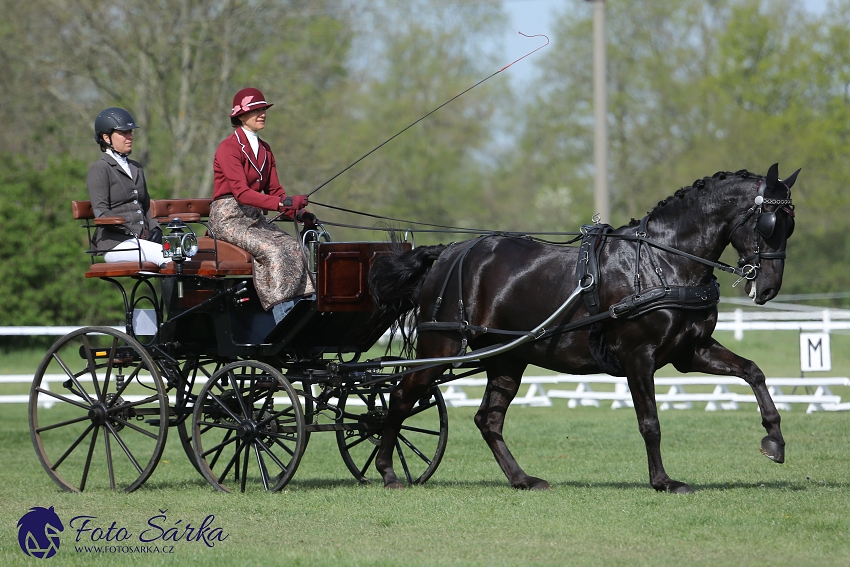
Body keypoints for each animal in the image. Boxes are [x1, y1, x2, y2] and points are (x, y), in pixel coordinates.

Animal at [368, 163, 800, 492]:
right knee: (401, 398)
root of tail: (448, 251)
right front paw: (663, 481)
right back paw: (388, 472)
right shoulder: (638, 357)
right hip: (440, 347)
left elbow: (753, 372)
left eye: (789, 224)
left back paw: (523, 479)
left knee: (487, 419)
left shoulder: (689, 352)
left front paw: (774, 441)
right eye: (768, 223)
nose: (768, 288)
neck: (664, 261)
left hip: (507, 359)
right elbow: (650, 423)